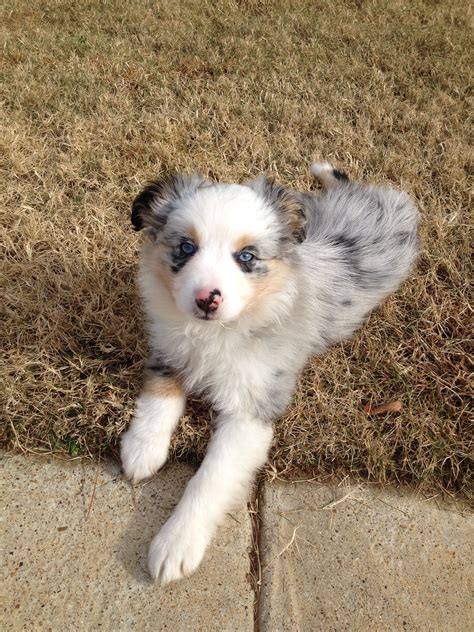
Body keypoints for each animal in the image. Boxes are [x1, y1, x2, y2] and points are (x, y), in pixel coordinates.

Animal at [119, 162, 418, 584]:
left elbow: (210, 478)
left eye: (246, 257)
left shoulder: (251, 411)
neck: (217, 331)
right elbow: (158, 397)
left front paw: (175, 544)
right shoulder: (168, 348)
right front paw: (142, 449)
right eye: (186, 248)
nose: (207, 299)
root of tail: (377, 193)